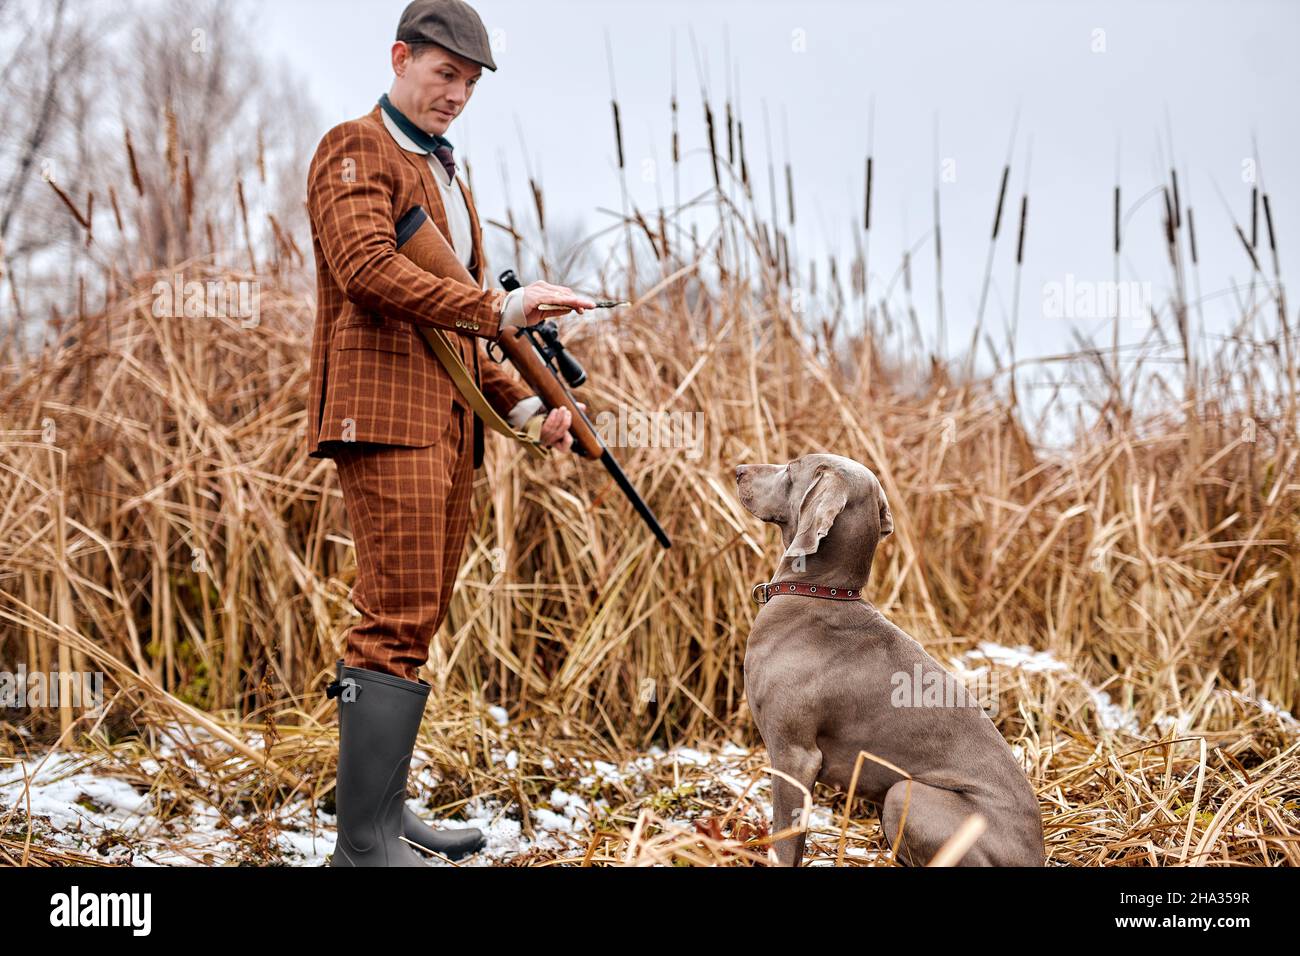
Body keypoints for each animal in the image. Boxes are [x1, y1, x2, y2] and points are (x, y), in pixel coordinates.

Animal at [738, 455, 1040, 868]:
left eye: (791, 467)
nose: (737, 470)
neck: (820, 592)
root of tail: (1037, 853)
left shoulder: (794, 755)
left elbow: (785, 841)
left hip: (905, 795)